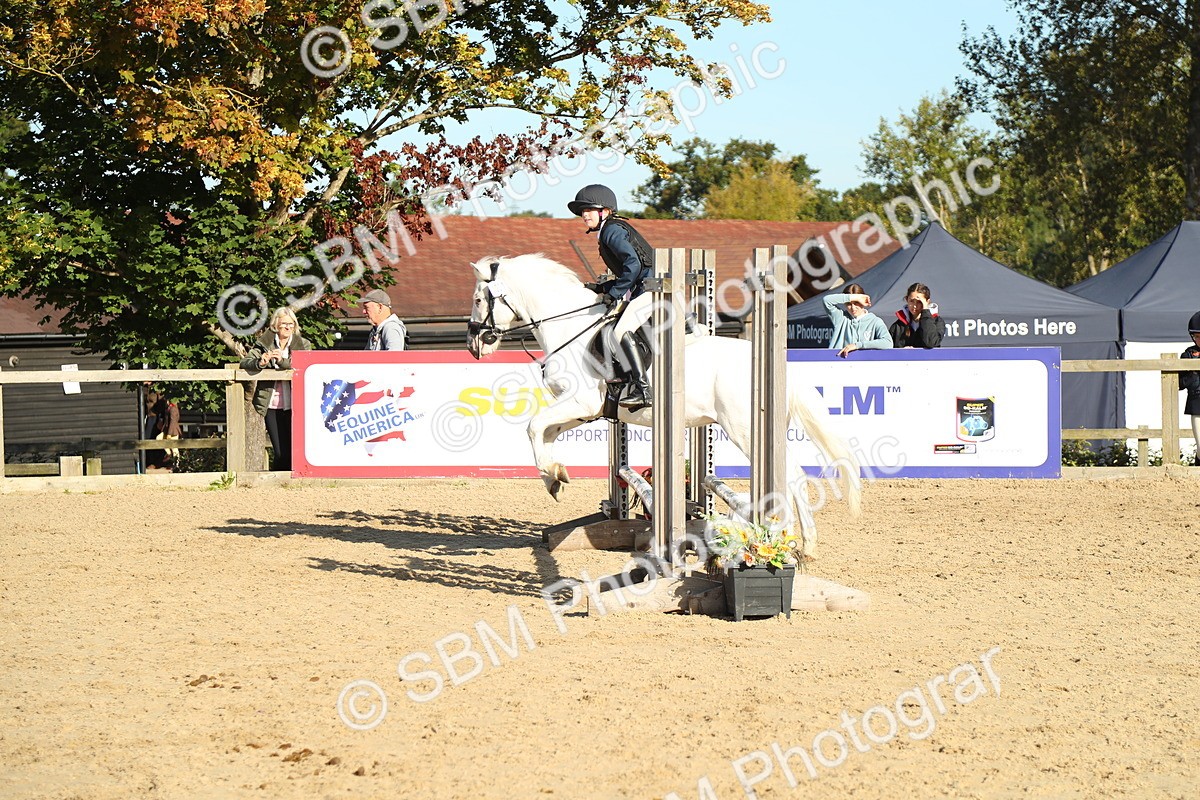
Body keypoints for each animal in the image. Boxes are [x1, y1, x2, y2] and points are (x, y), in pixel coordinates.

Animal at [465, 254, 860, 558]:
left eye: (479, 300)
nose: (473, 344)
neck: (571, 329)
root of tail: (776, 365)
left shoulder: (580, 400)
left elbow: (533, 426)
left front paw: (552, 474)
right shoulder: (586, 409)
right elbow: (543, 432)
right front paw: (554, 476)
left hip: (745, 430)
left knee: (790, 473)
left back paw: (787, 537)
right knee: (794, 474)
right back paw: (806, 544)